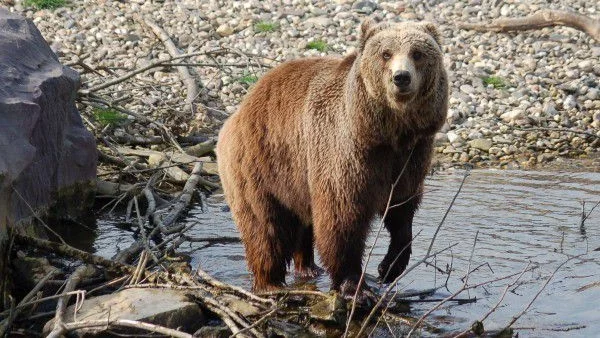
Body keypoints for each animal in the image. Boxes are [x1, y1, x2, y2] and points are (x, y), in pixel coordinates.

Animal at [216, 18, 446, 298]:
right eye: (386, 53)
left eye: (418, 53)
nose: (401, 77)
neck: (387, 133)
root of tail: (239, 110)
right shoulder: (345, 152)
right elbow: (341, 217)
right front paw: (355, 286)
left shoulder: (410, 158)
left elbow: (401, 210)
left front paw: (389, 267)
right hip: (260, 165)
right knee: (266, 228)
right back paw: (269, 282)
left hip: (296, 176)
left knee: (303, 221)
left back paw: (307, 267)